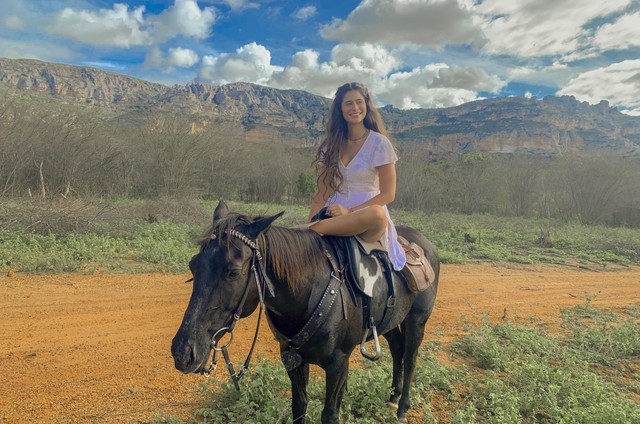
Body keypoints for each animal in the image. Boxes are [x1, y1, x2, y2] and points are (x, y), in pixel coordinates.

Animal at [171, 200, 440, 422]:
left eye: (233, 272)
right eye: (193, 265)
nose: (183, 352)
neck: (310, 291)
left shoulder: (338, 363)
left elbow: (330, 414)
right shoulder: (293, 360)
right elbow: (299, 407)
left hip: (417, 320)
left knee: (410, 356)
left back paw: (402, 407)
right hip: (390, 321)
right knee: (397, 348)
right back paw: (393, 397)